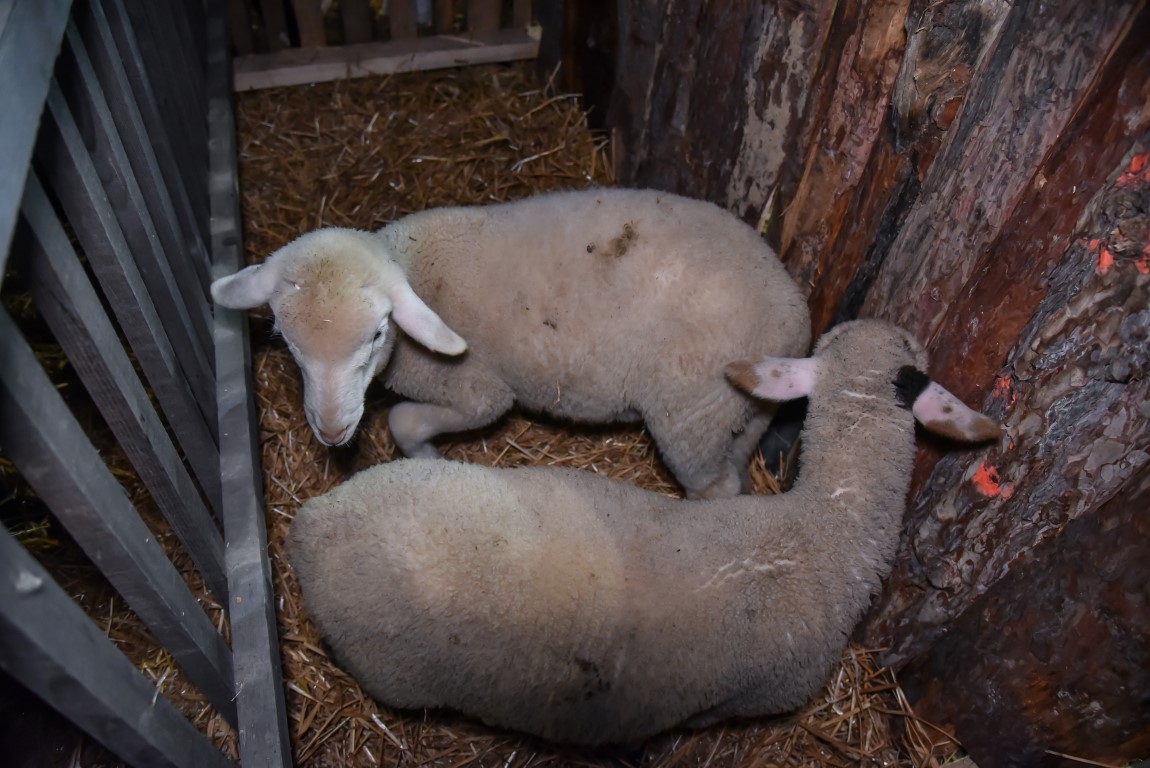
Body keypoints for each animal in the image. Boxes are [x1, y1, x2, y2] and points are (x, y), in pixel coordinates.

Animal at [210, 188, 811, 499]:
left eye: (378, 333)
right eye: (287, 341)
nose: (333, 432)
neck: (417, 270)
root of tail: (793, 313)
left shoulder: (477, 391)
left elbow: (404, 421)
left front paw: (430, 459)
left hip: (688, 413)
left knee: (714, 487)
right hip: (736, 409)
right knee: (735, 467)